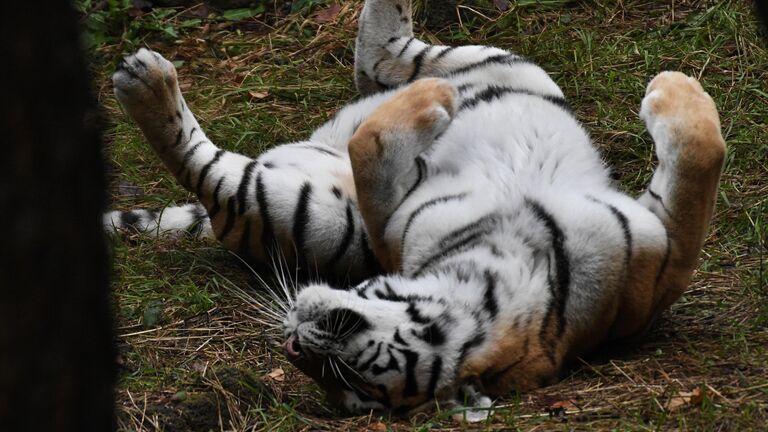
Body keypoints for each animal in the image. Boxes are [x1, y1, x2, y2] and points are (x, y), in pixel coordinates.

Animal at [108, 0, 728, 420]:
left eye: (352, 378)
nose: (293, 339)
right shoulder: (659, 244)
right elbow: (702, 158)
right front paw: (676, 90)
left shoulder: (384, 226)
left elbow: (369, 151)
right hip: (515, 69)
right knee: (387, 61)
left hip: (315, 216)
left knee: (216, 174)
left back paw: (144, 81)